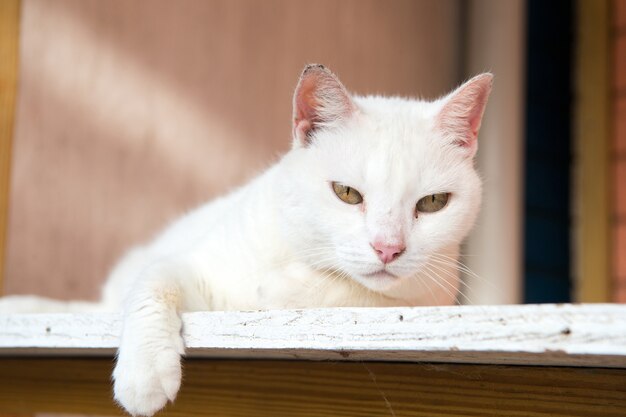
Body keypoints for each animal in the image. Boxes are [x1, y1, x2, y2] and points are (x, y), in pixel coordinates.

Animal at [0, 63, 490, 414]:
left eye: (432, 202)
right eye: (347, 193)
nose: (388, 248)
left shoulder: (424, 297)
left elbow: (354, 296)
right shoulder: (191, 266)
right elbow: (153, 286)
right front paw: (145, 373)